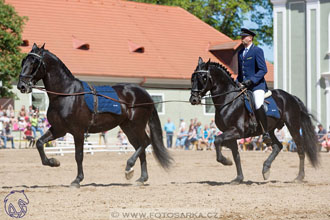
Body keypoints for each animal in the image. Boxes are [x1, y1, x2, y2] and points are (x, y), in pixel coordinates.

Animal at [17, 43, 173, 187]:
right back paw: (141, 178)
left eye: (34, 62)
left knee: (145, 142)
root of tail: (145, 93)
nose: (21, 86)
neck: (67, 94)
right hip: (128, 127)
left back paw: (129, 166)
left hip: (137, 125)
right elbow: (39, 143)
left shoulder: (78, 131)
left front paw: (77, 180)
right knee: (140, 147)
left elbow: (78, 156)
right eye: (24, 61)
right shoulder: (59, 129)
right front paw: (53, 162)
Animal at [189, 57, 318, 184]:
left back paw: (299, 177)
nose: (193, 99)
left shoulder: (237, 131)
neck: (228, 100)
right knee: (278, 146)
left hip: (293, 126)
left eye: (203, 77)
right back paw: (266, 169)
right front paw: (239, 178)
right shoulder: (230, 133)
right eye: (193, 77)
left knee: (300, 149)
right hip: (271, 129)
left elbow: (217, 140)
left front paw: (226, 161)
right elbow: (235, 155)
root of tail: (291, 97)